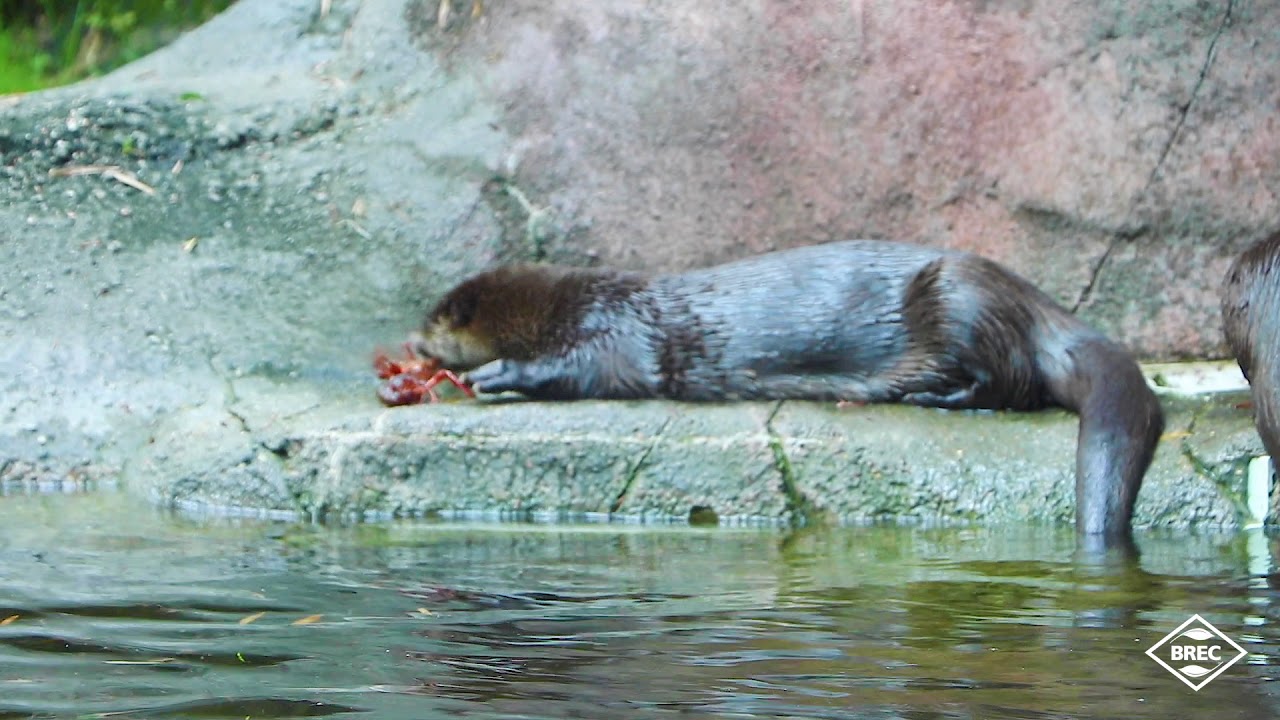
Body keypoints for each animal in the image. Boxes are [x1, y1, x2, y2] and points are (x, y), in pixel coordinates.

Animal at [415, 241, 1164, 545]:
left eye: (435, 320)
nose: (415, 346)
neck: (574, 305)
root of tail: (1033, 301)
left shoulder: (615, 334)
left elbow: (589, 370)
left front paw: (496, 375)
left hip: (960, 301)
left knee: (1007, 383)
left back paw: (921, 396)